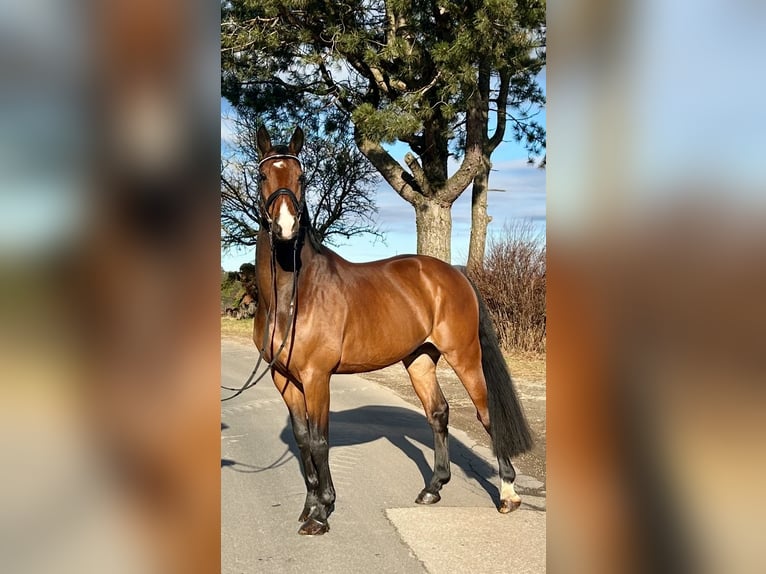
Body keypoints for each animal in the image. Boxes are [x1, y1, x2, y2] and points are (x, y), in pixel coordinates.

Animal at [252, 125, 536, 536]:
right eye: (262, 176)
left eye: (301, 177)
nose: (286, 228)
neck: (293, 294)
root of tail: (454, 273)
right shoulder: (284, 378)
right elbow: (303, 440)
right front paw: (308, 509)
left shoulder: (316, 377)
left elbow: (320, 441)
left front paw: (322, 513)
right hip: (419, 359)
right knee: (438, 412)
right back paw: (433, 489)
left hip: (465, 355)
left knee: (486, 414)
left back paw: (508, 495)